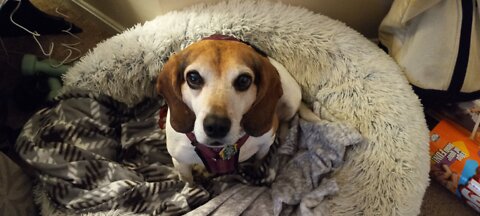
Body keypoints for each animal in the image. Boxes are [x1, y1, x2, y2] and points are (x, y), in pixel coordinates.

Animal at [157, 35, 300, 184]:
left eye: (243, 80)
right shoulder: (180, 162)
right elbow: (189, 182)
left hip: (291, 102)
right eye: (193, 77)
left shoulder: (266, 143)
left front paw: (258, 172)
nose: (216, 126)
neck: (220, 151)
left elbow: (259, 159)